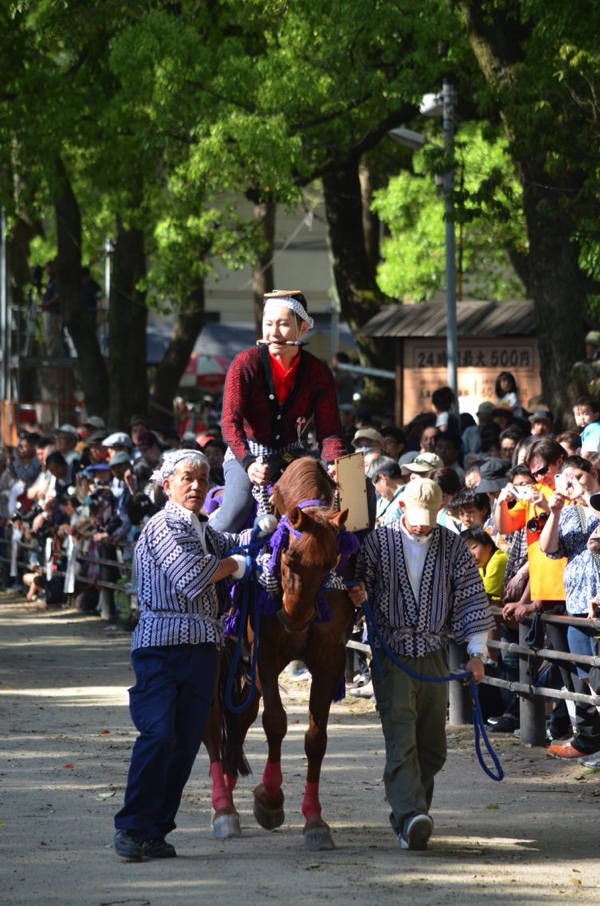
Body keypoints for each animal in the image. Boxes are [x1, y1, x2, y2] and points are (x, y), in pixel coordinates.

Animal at [204, 456, 358, 852]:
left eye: (333, 560)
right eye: (288, 553)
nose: (297, 617)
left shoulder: (330, 660)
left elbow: (315, 738)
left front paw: (315, 820)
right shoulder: (266, 656)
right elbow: (275, 722)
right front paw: (270, 799)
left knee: (240, 717)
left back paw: (230, 785)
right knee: (213, 722)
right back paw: (223, 808)